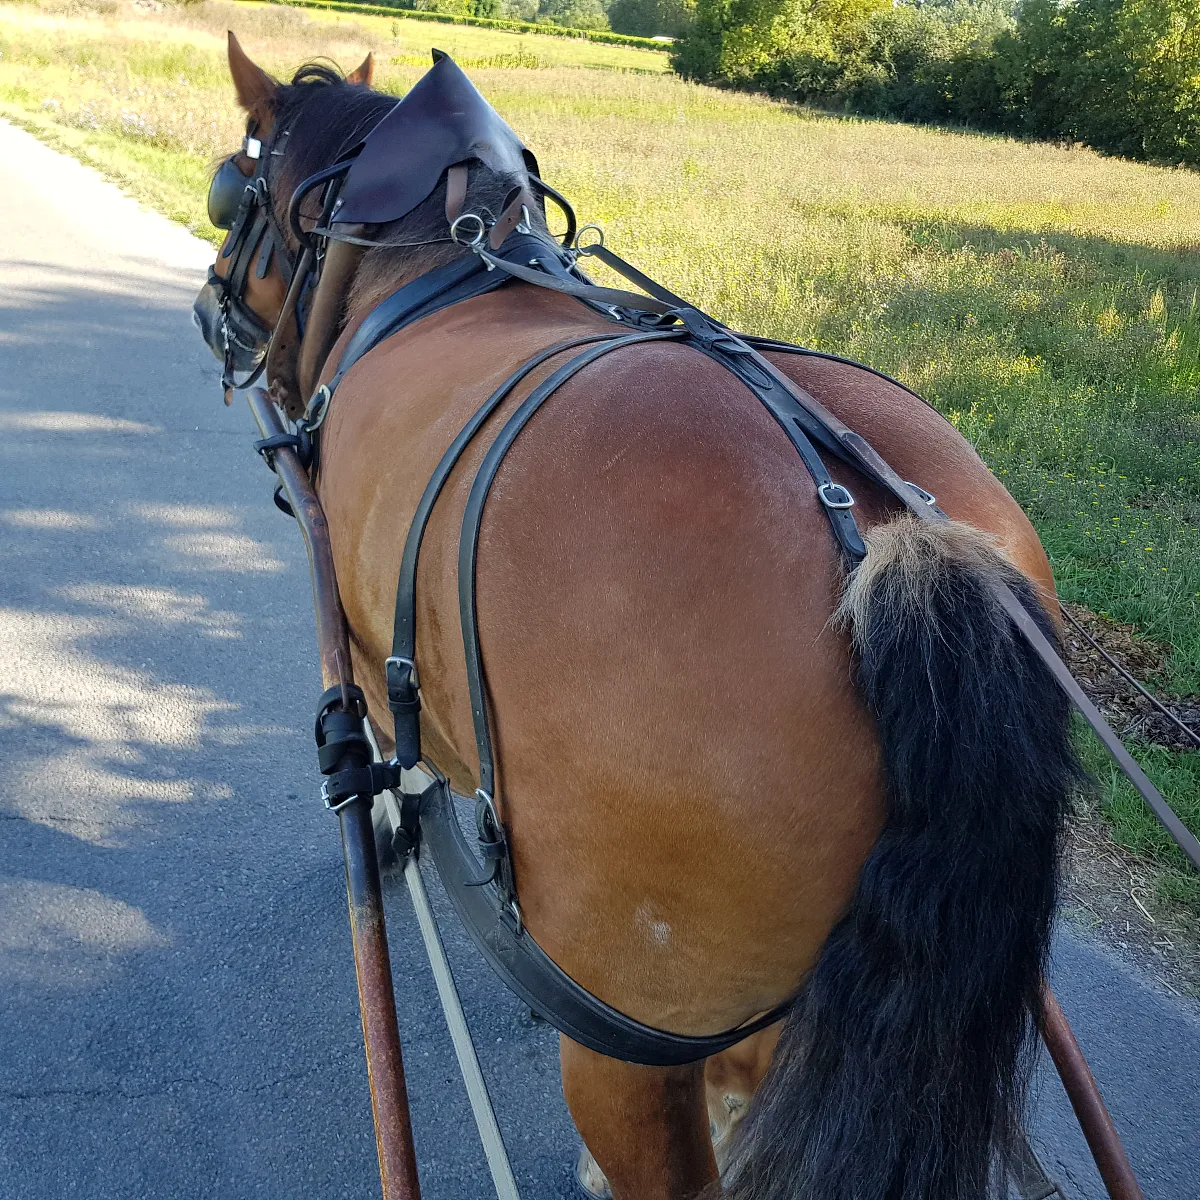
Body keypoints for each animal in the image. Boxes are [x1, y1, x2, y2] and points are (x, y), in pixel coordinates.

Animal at [196, 35, 1080, 1200]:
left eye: (232, 188)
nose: (211, 306)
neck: (435, 265)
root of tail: (892, 547)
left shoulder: (362, 633)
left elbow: (397, 760)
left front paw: (388, 832)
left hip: (634, 1036)